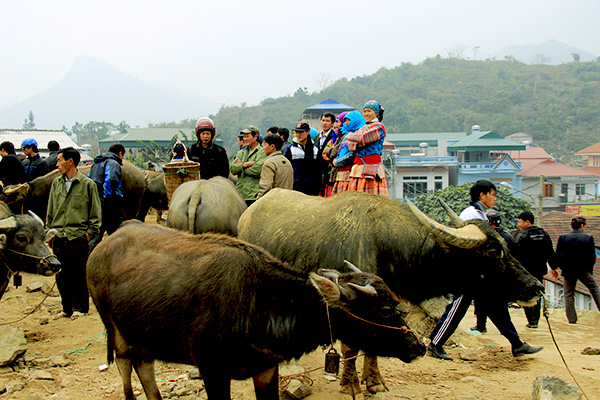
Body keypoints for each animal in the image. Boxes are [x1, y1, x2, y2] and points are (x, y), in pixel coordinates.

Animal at [86, 220, 424, 400]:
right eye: (385, 309)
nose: (418, 346)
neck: (260, 301)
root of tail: (102, 246)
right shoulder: (212, 370)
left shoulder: (265, 368)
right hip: (117, 334)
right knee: (127, 369)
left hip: (144, 335)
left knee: (145, 367)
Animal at [238, 190, 544, 396]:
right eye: (493, 251)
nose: (537, 287)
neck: (384, 242)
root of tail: (248, 213)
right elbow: (352, 346)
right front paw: (351, 384)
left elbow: (374, 343)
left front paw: (374, 382)